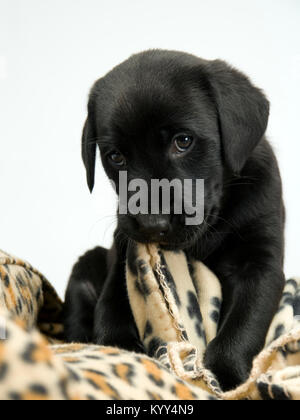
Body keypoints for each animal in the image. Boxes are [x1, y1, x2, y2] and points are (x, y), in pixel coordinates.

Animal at [64, 50, 284, 392]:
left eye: (183, 141)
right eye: (115, 156)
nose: (152, 222)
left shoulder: (260, 262)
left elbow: (243, 324)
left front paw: (225, 376)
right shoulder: (123, 249)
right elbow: (112, 304)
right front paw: (118, 347)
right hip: (85, 270)